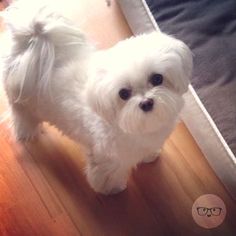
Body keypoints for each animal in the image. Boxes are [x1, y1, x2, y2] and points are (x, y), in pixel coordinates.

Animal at [1, 2, 193, 195]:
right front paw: (112, 189)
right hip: (21, 102)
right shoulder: (107, 159)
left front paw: (149, 156)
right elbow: (108, 175)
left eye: (157, 79)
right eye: (123, 93)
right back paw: (25, 132)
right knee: (21, 115)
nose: (146, 102)